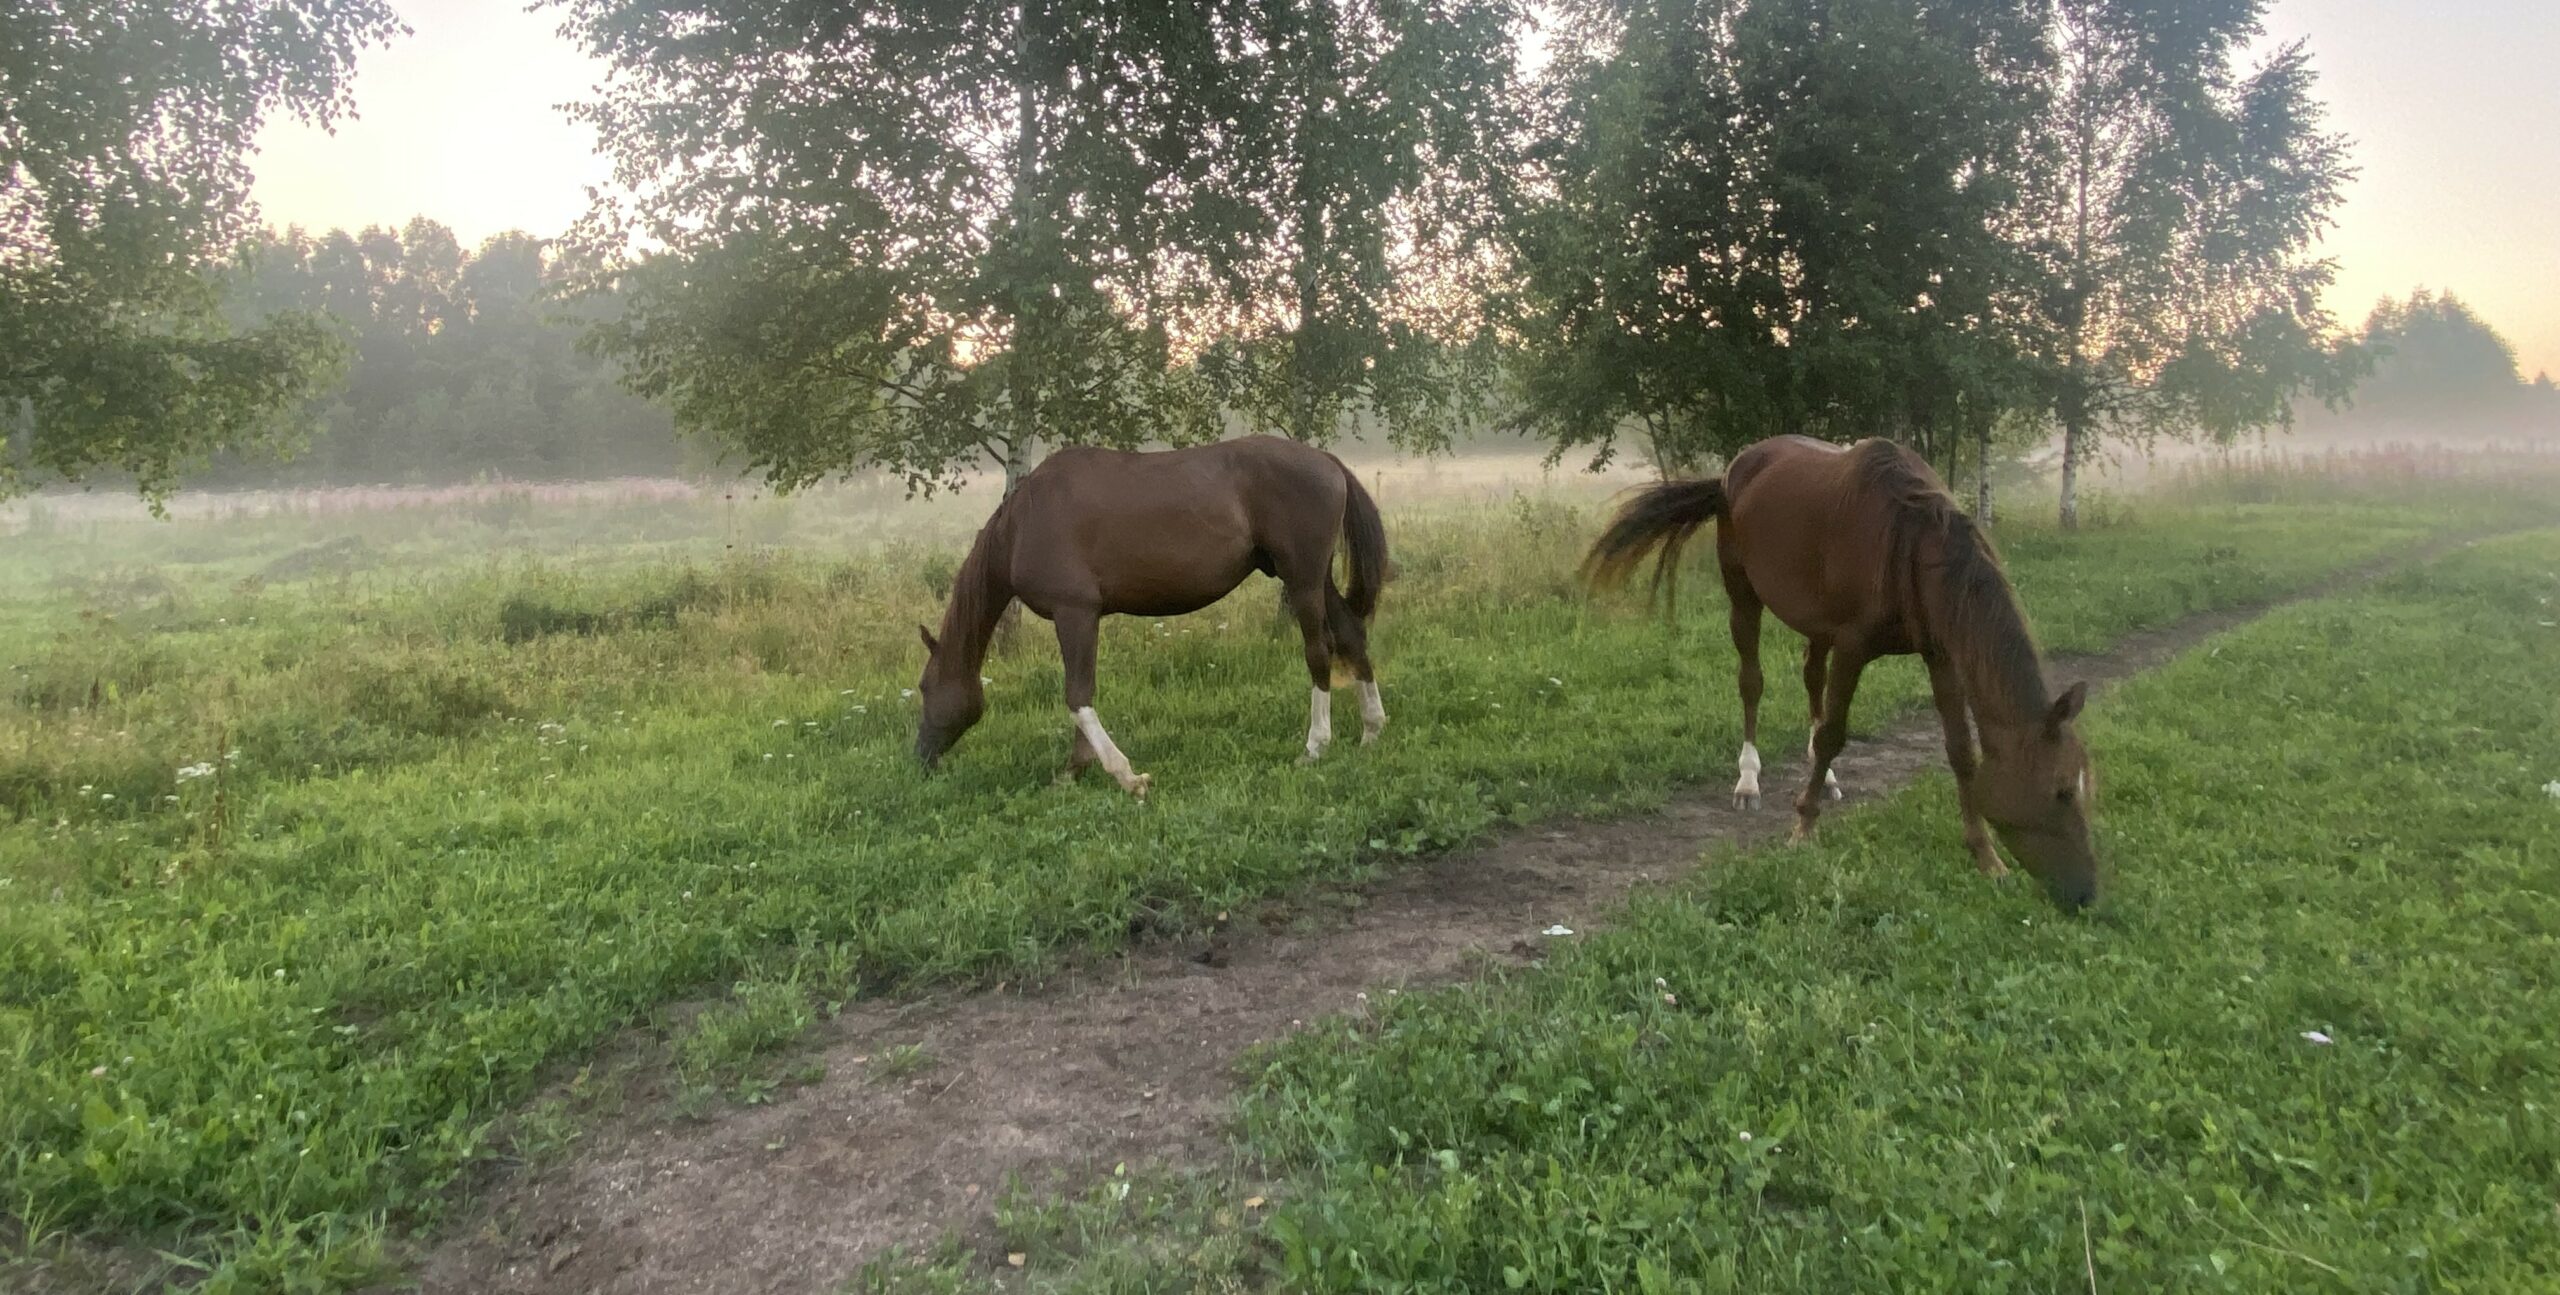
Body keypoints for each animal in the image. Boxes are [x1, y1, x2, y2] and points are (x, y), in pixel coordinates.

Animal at [914, 435, 1389, 797]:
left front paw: (1124, 775)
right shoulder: (1081, 619)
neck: (1022, 525)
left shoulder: (1075, 613)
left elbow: (1077, 696)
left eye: (924, 688)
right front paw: (1075, 770)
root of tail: (1326, 461)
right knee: (1352, 635)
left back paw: (1315, 746)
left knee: (1319, 651)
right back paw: (1371, 731)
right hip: (1316, 579)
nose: (921, 758)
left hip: (1302, 579)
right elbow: (1081, 695)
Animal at [1584, 435, 2101, 907]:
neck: (1909, 543)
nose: (2085, 894)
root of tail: (1735, 467)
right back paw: (1748, 780)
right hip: (1743, 595)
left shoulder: (1941, 655)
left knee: (1811, 676)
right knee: (1751, 682)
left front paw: (1987, 858)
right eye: (2060, 791)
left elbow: (1960, 751)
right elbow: (1834, 732)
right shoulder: (1853, 647)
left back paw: (1826, 777)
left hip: (1816, 623)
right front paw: (1801, 828)